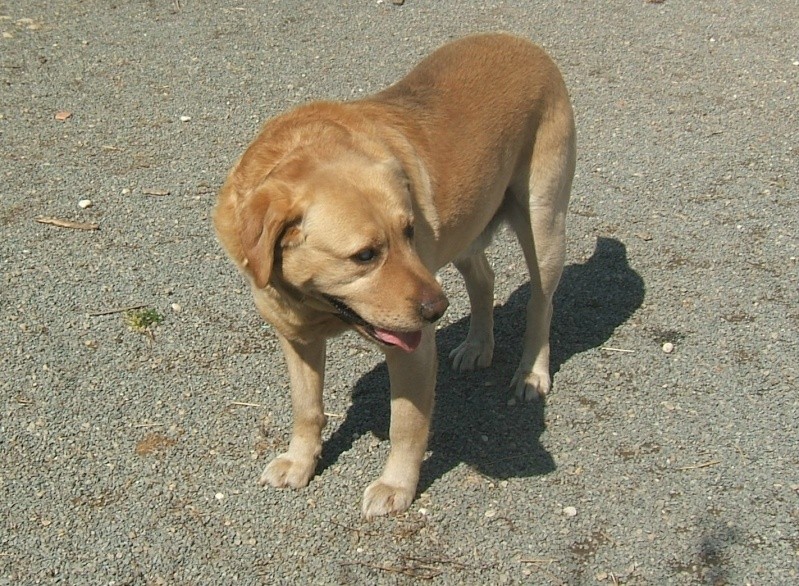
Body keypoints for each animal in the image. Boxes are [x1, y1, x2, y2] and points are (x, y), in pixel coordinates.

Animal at [212, 32, 576, 516]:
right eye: (365, 255)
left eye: (408, 231)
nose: (437, 310)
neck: (315, 306)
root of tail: (520, 41)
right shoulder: (296, 339)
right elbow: (306, 409)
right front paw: (300, 461)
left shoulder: (412, 351)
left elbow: (405, 424)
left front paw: (396, 486)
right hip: (465, 228)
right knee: (484, 280)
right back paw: (478, 345)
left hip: (543, 223)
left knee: (541, 302)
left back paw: (532, 373)